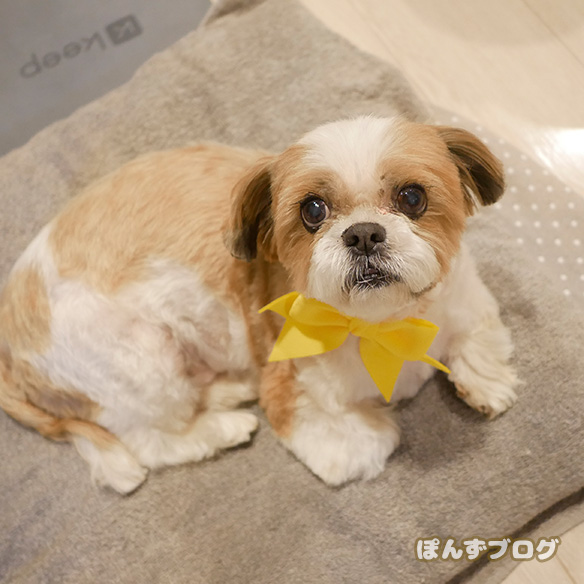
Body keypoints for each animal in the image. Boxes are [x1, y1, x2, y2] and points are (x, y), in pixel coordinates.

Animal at [0, 116, 518, 493]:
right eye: (313, 210)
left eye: (412, 197)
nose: (364, 233)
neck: (382, 325)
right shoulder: (295, 389)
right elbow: (360, 441)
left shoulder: (464, 295)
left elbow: (477, 337)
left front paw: (485, 382)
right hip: (140, 361)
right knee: (151, 440)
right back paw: (222, 427)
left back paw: (226, 390)